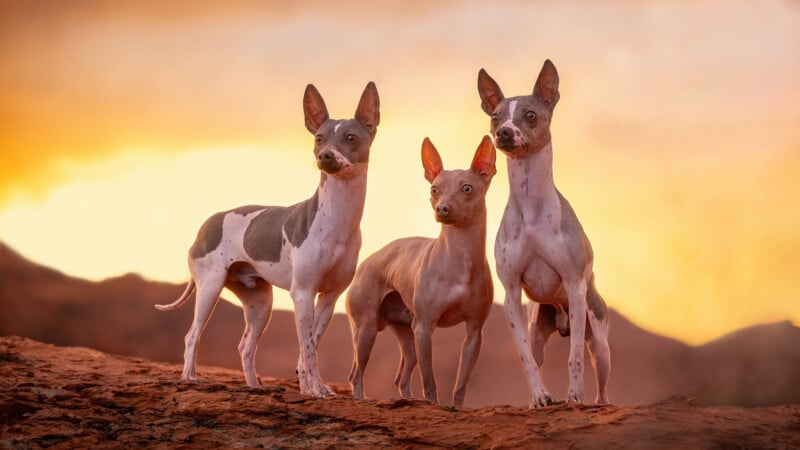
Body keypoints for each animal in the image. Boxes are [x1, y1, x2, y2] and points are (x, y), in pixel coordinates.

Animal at [158, 81, 382, 398]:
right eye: (319, 138)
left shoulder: (329, 297)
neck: (338, 219)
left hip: (260, 303)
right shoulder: (302, 292)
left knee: (245, 346)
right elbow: (308, 348)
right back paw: (190, 377)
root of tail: (205, 225)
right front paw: (313, 390)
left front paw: (312, 387)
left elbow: (310, 346)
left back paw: (253, 386)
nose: (325, 155)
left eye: (350, 137)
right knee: (192, 335)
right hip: (210, 287)